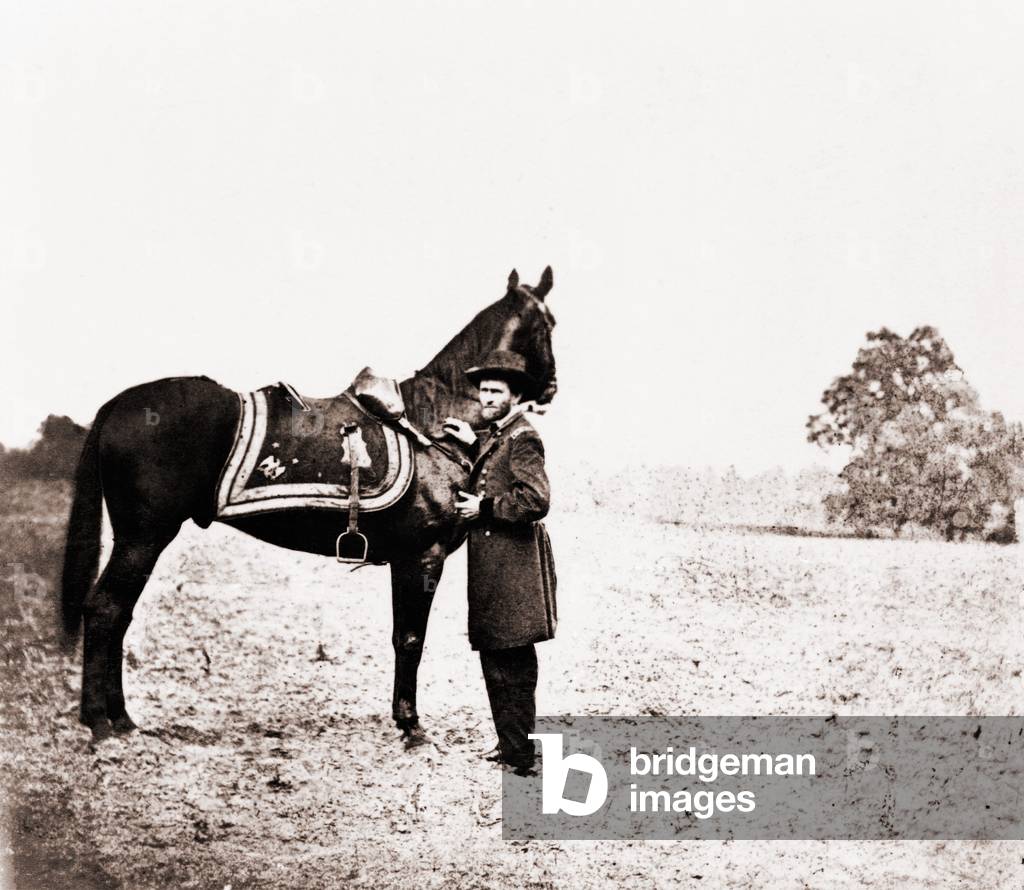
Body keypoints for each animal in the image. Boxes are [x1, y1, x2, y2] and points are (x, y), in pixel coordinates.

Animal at [60, 266, 558, 743]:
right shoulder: (422, 557)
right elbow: (411, 639)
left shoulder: (407, 559)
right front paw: (412, 726)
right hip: (142, 538)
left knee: (119, 615)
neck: (429, 424)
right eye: (545, 325)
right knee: (105, 610)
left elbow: (402, 638)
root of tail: (116, 405)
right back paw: (101, 723)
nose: (551, 387)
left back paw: (122, 719)